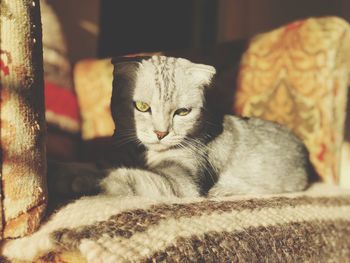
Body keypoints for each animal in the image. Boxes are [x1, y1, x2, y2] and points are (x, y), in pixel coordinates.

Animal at [48, 55, 308, 199]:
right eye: (142, 106)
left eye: (182, 112)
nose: (161, 133)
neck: (142, 154)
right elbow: (99, 164)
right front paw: (64, 167)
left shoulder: (182, 181)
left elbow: (128, 176)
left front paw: (77, 178)